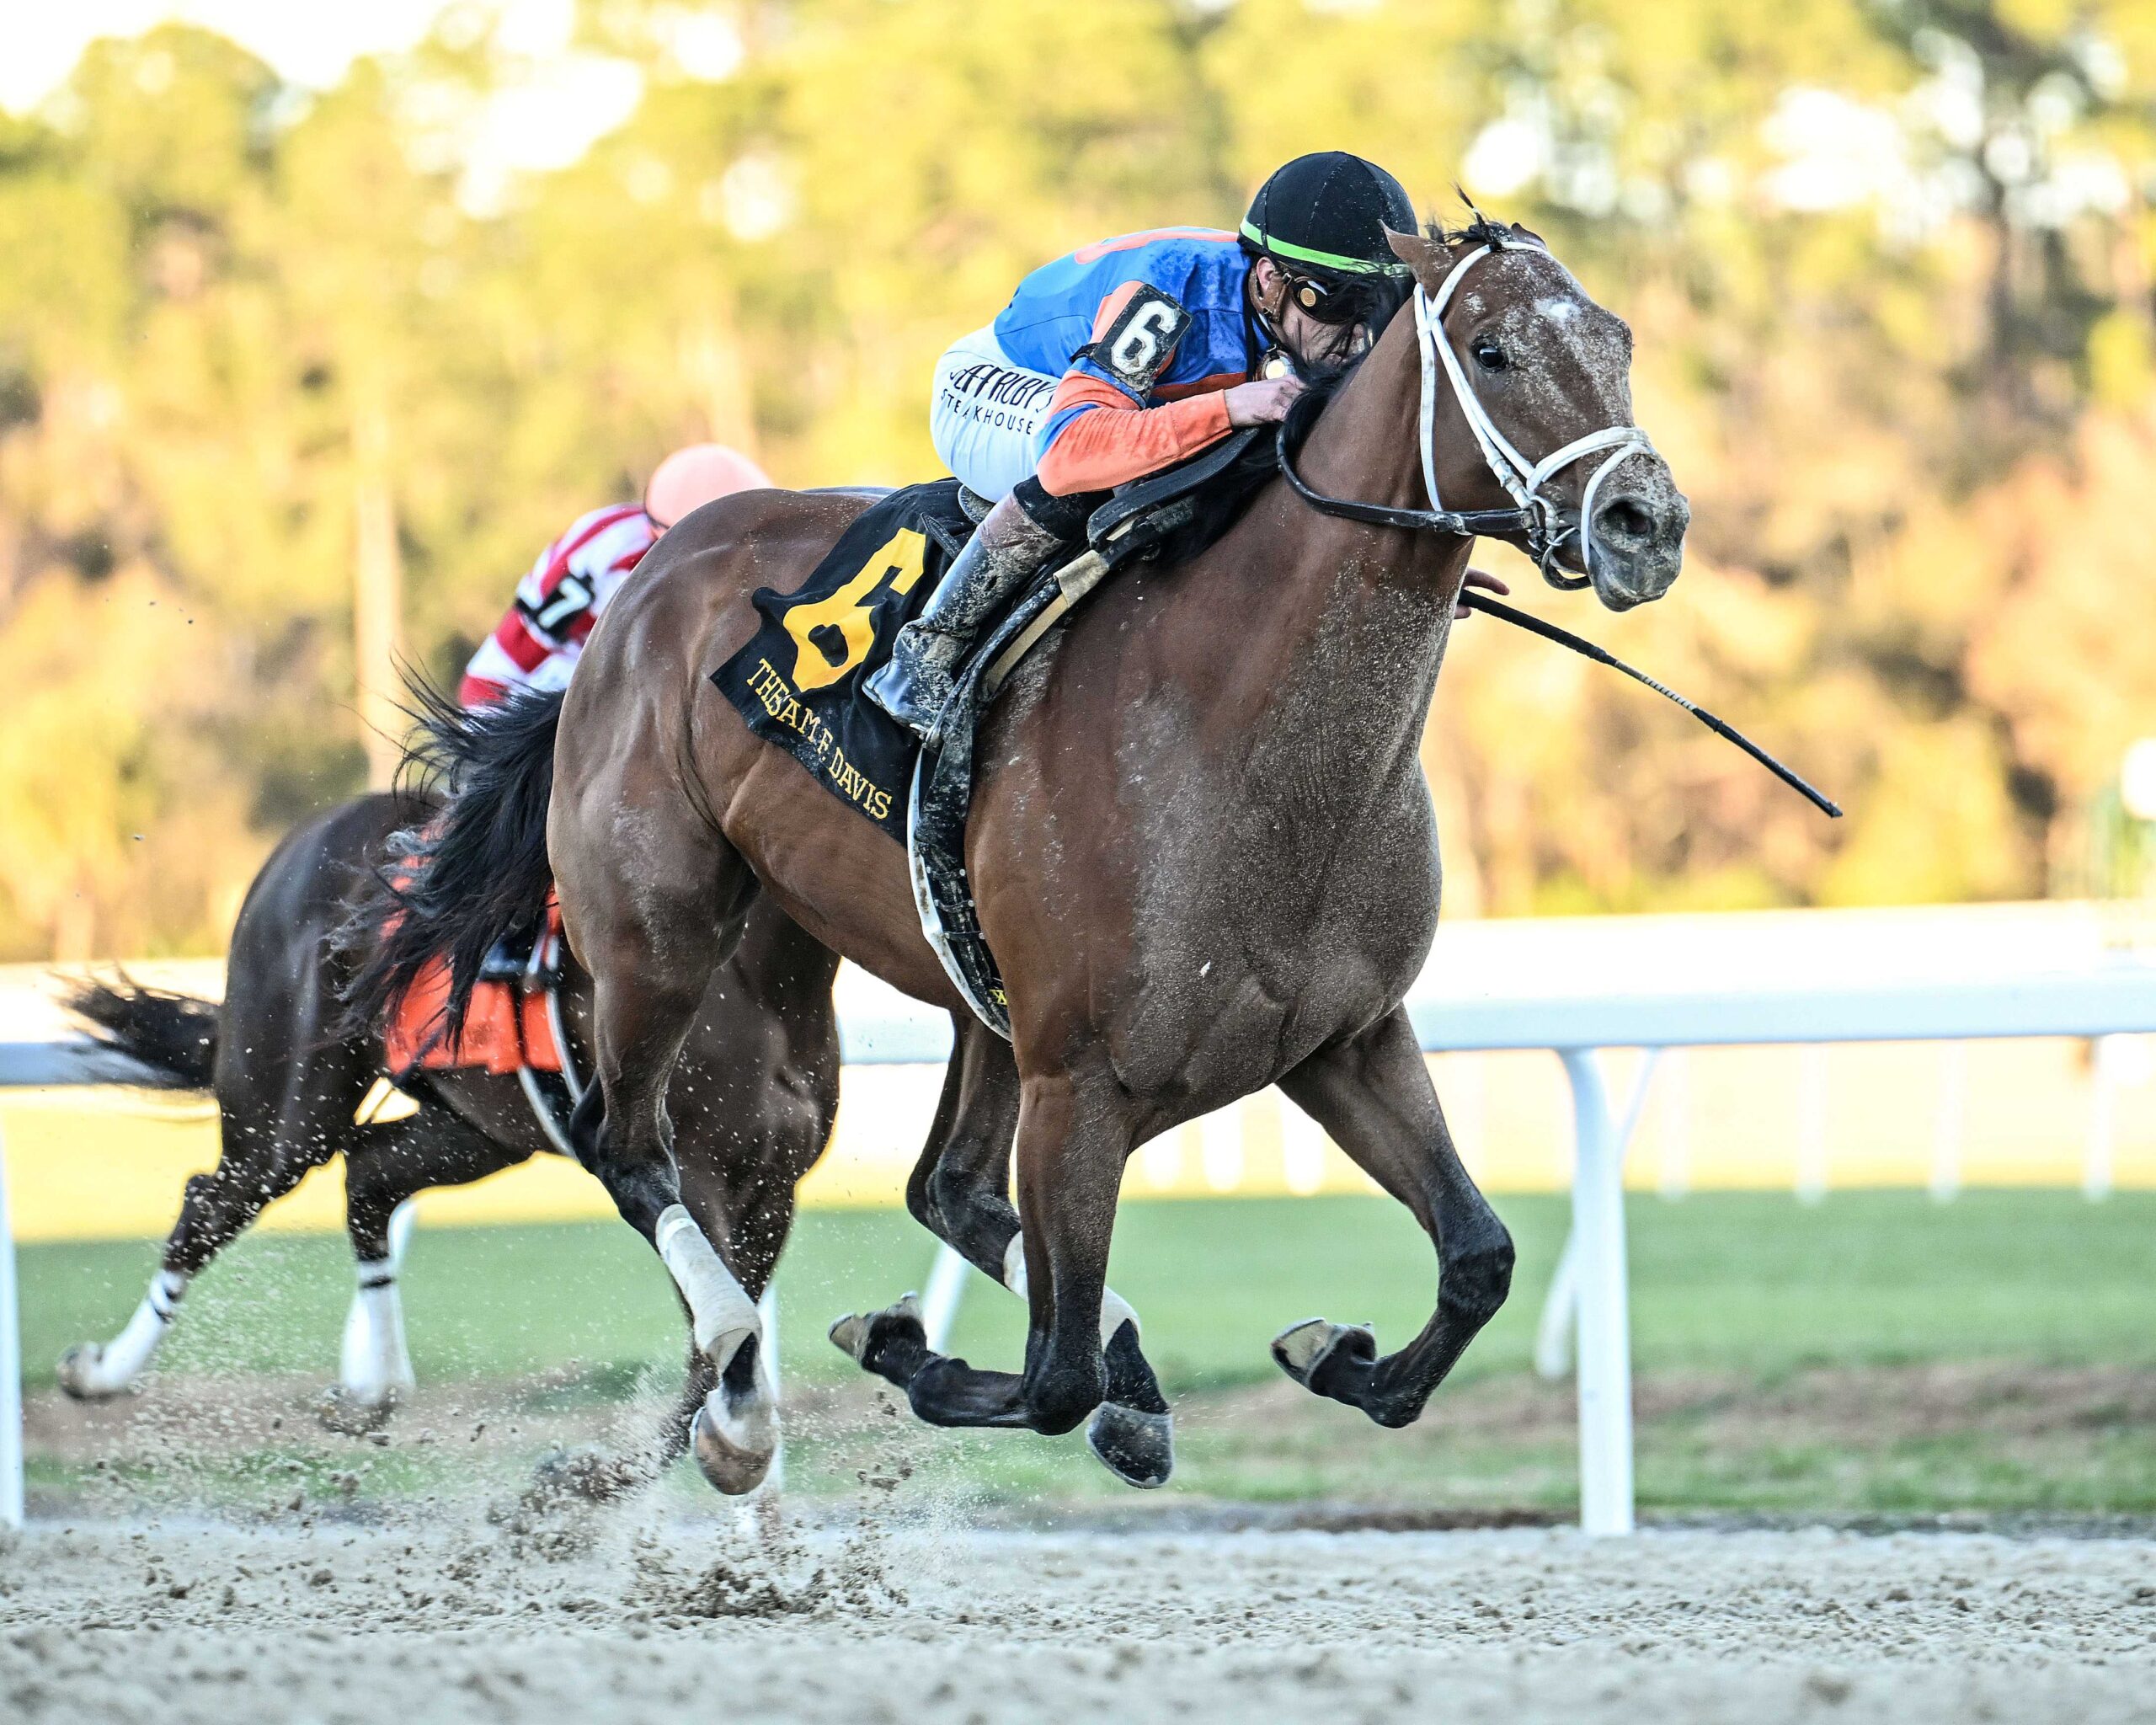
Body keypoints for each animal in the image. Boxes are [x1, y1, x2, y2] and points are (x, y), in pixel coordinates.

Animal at [57, 788, 842, 1495]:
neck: (755, 978)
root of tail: (302, 839)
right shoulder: (690, 1175)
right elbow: (724, 1340)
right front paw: (597, 1480)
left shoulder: (773, 1190)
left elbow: (727, 1341)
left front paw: (602, 1477)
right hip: (286, 1111)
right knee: (212, 1202)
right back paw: (99, 1371)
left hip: (477, 1128)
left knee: (368, 1175)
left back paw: (373, 1391)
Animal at [352, 218, 1688, 1477]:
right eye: (1492, 350)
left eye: (1620, 339)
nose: (1648, 523)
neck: (1236, 725)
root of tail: (649, 578)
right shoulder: (1080, 1084)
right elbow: (1052, 1375)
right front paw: (916, 1349)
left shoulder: (1342, 1040)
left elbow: (1478, 1256)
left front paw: (1333, 1354)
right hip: (658, 937)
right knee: (629, 1148)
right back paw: (737, 1383)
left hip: (956, 988)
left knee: (940, 1186)